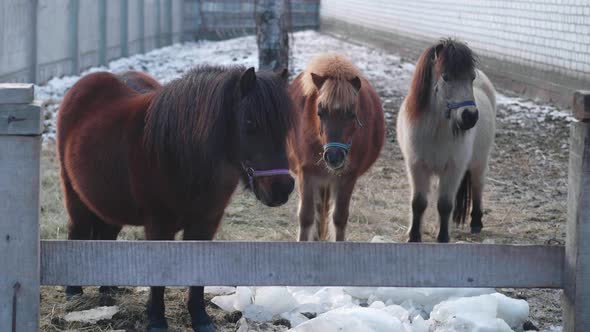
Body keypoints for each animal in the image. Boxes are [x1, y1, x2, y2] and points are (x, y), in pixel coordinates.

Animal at [57, 65, 296, 332]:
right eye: (250, 122)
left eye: (286, 126)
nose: (282, 188)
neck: (179, 153)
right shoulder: (159, 224)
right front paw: (156, 320)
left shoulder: (206, 223)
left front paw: (201, 319)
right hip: (75, 195)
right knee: (77, 230)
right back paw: (73, 291)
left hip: (109, 203)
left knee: (106, 235)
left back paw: (108, 288)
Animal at [290, 53, 386, 241]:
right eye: (320, 112)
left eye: (352, 114)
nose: (334, 156)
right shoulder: (307, 174)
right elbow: (306, 218)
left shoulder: (348, 177)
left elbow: (339, 219)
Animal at [398, 39, 500, 243]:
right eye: (445, 77)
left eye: (471, 78)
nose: (470, 116)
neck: (436, 130)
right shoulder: (416, 166)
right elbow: (418, 203)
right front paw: (414, 236)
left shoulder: (453, 169)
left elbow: (444, 204)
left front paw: (443, 237)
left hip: (479, 163)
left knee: (477, 186)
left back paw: (476, 223)